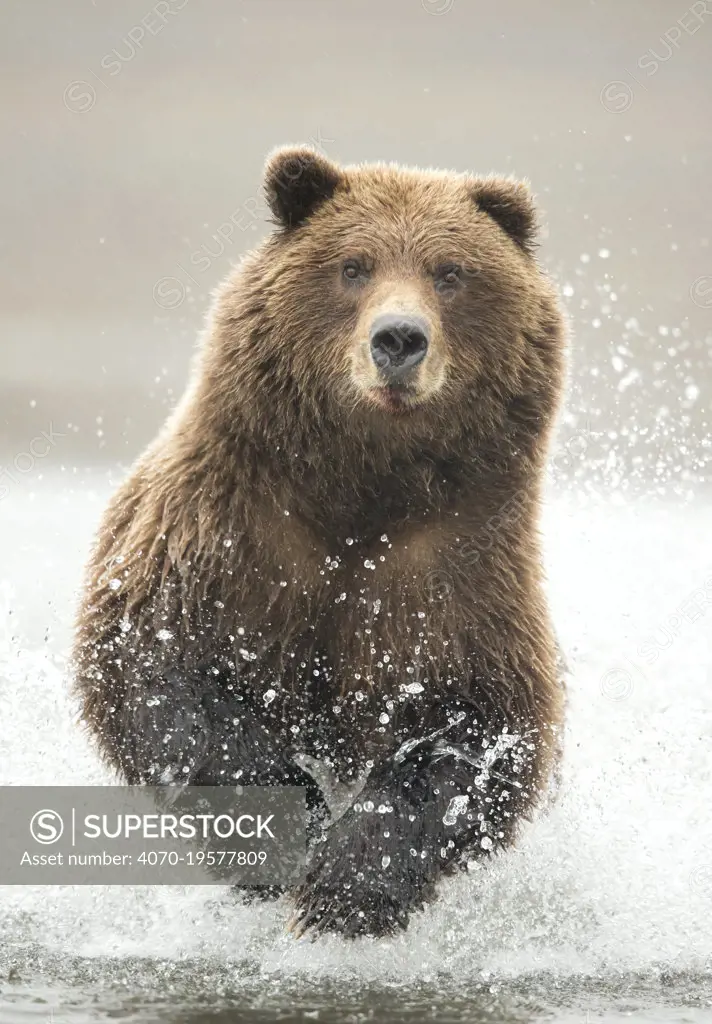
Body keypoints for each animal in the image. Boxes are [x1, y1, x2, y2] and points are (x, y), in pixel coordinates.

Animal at [73, 144, 569, 937]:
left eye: (451, 272)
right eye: (353, 265)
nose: (398, 339)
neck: (358, 485)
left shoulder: (453, 569)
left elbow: (475, 736)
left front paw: (348, 887)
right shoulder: (227, 534)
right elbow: (160, 671)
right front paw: (284, 836)